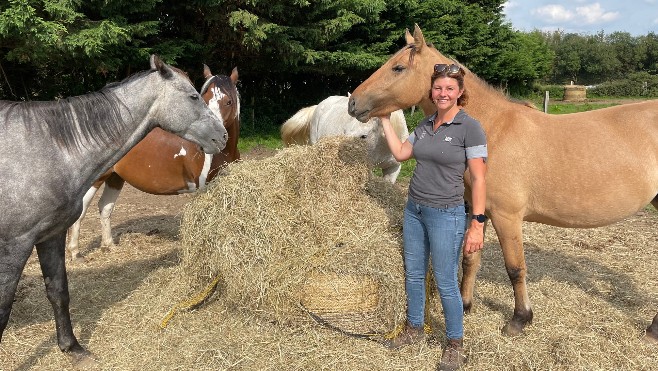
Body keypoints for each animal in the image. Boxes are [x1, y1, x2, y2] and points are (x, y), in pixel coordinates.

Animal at [66, 64, 240, 262]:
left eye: (228, 102)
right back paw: (75, 253)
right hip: (96, 180)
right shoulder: (201, 189)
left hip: (115, 178)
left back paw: (108, 245)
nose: (216, 136)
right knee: (81, 213)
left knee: (105, 208)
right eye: (204, 98)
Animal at [346, 24, 652, 342]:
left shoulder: (508, 217)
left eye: (398, 67)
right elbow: (470, 259)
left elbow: (515, 268)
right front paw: (465, 304)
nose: (353, 103)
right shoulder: (477, 210)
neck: (492, 129)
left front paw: (520, 319)